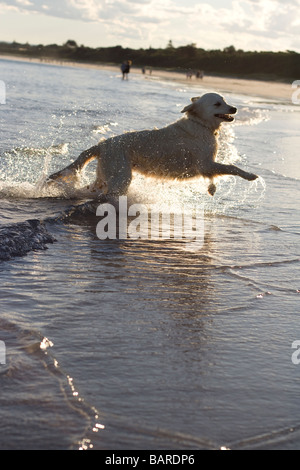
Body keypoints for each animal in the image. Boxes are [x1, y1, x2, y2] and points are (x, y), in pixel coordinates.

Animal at [47, 92, 258, 197]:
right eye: (217, 104)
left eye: (224, 100)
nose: (234, 108)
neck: (201, 124)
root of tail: (102, 144)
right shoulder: (205, 164)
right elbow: (231, 167)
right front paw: (249, 175)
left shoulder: (207, 165)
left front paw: (212, 188)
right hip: (120, 176)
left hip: (106, 175)